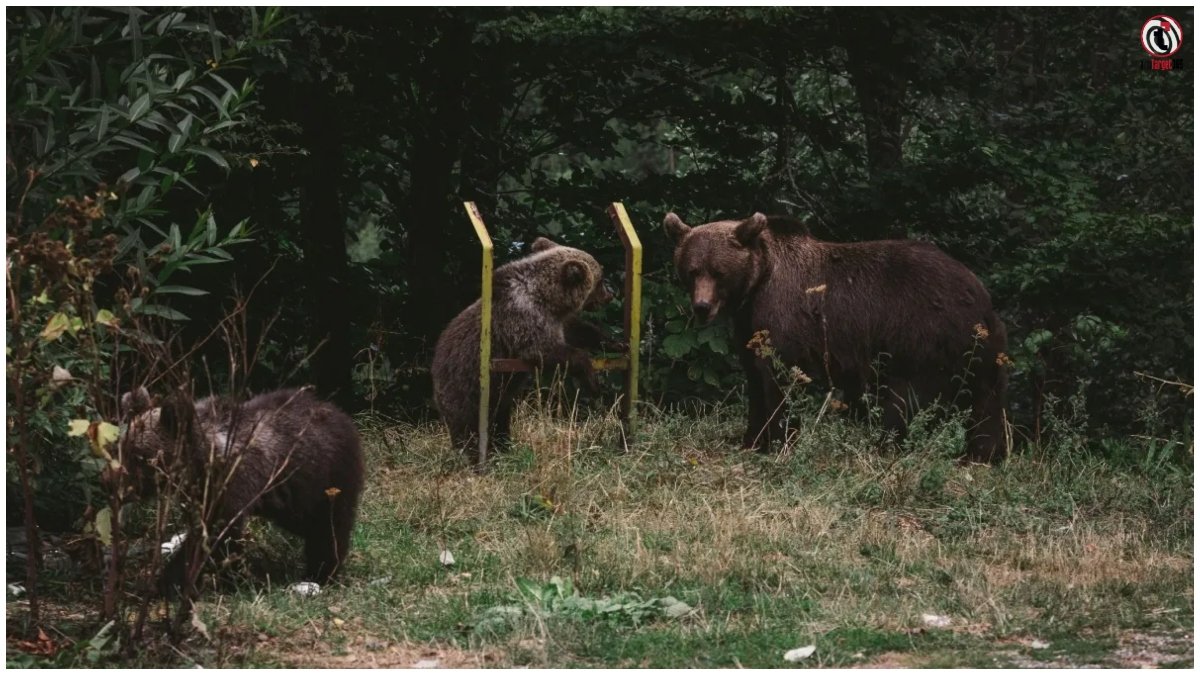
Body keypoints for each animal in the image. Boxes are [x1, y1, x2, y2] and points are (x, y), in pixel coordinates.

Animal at [118, 386, 364, 590]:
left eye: (139, 456)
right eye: (123, 449)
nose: (118, 487)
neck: (202, 459)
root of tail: (340, 414)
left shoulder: (232, 483)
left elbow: (218, 534)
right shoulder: (200, 493)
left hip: (327, 477)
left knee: (328, 527)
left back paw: (321, 574)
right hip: (294, 499)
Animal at [432, 237, 614, 464]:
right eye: (600, 279)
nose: (611, 292)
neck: (547, 298)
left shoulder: (555, 321)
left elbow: (577, 330)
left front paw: (614, 342)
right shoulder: (523, 318)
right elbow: (544, 351)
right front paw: (592, 380)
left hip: (498, 397)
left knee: (500, 419)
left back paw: (503, 446)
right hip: (463, 387)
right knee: (467, 427)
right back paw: (474, 456)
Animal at [664, 211, 1008, 463]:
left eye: (718, 272)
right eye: (692, 270)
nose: (702, 307)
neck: (757, 283)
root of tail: (980, 295)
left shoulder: (782, 315)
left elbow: (779, 379)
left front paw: (779, 441)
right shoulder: (748, 326)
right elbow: (755, 379)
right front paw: (751, 440)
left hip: (921, 337)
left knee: (904, 400)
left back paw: (884, 446)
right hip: (980, 351)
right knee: (987, 402)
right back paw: (984, 454)